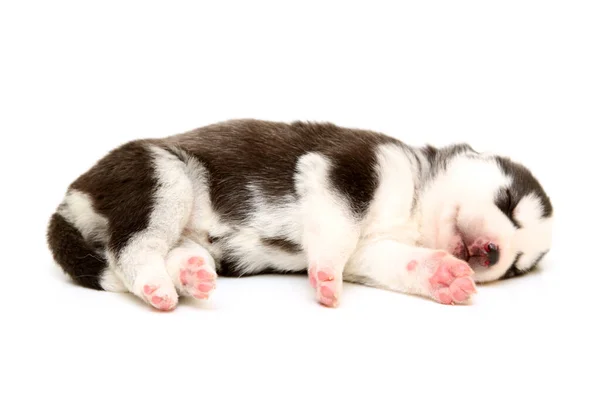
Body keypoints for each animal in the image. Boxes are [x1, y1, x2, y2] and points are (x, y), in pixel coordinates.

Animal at [47, 119, 552, 310]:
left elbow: (399, 261)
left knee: (170, 249)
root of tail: (72, 194)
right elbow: (337, 233)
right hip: (164, 175)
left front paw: (443, 276)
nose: (491, 253)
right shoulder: (342, 169)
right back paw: (156, 287)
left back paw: (191, 273)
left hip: (180, 220)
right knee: (133, 247)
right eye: (508, 202)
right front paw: (324, 276)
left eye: (516, 267)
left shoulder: (371, 251)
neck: (414, 200)